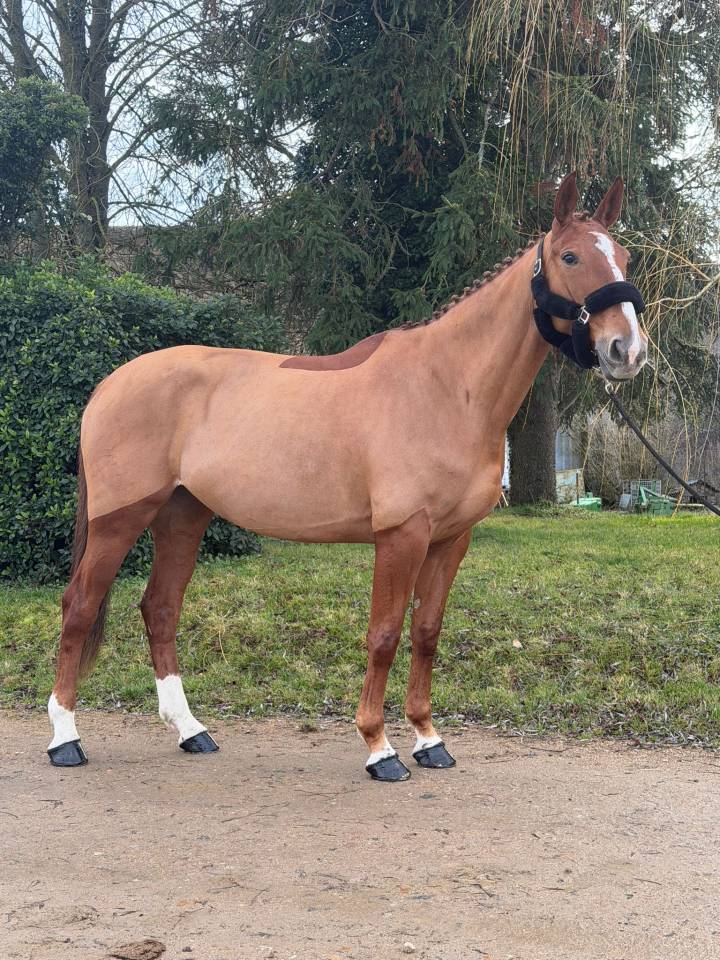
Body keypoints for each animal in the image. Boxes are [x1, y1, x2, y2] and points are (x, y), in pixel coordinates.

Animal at [47, 173, 648, 781]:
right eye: (570, 256)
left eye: (624, 256)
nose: (626, 350)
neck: (448, 387)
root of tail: (110, 384)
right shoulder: (401, 535)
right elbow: (383, 636)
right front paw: (380, 748)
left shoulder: (451, 539)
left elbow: (426, 633)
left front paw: (429, 740)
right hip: (120, 520)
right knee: (79, 607)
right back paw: (65, 739)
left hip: (183, 513)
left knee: (161, 608)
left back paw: (192, 731)